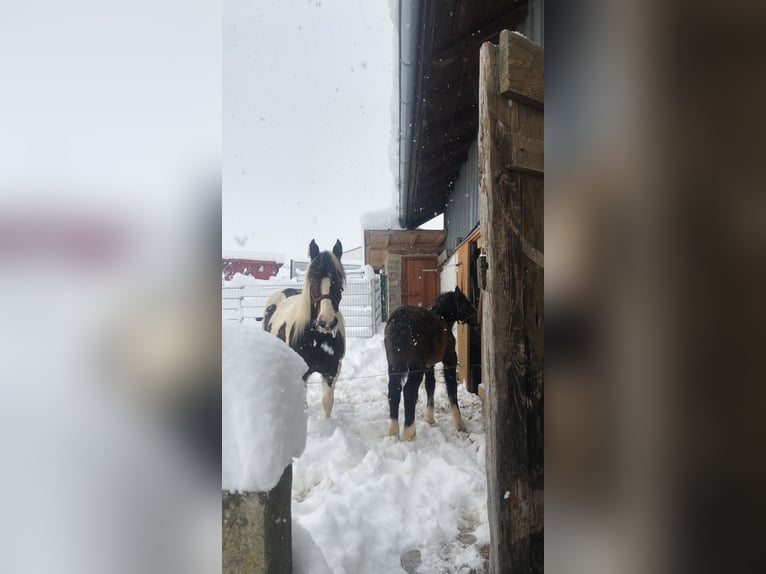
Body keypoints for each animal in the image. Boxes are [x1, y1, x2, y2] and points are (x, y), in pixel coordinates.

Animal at [264, 238, 348, 418]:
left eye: (338, 283)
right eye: (313, 283)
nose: (327, 322)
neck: (318, 339)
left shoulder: (332, 370)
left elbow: (327, 402)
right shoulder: (301, 373)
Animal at [384, 288, 480, 440]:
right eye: (465, 302)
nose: (477, 320)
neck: (444, 319)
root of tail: (399, 323)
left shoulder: (429, 366)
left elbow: (431, 386)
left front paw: (429, 419)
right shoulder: (450, 361)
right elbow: (452, 390)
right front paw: (460, 424)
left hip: (394, 366)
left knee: (394, 390)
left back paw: (393, 432)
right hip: (415, 368)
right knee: (409, 391)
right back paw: (409, 433)